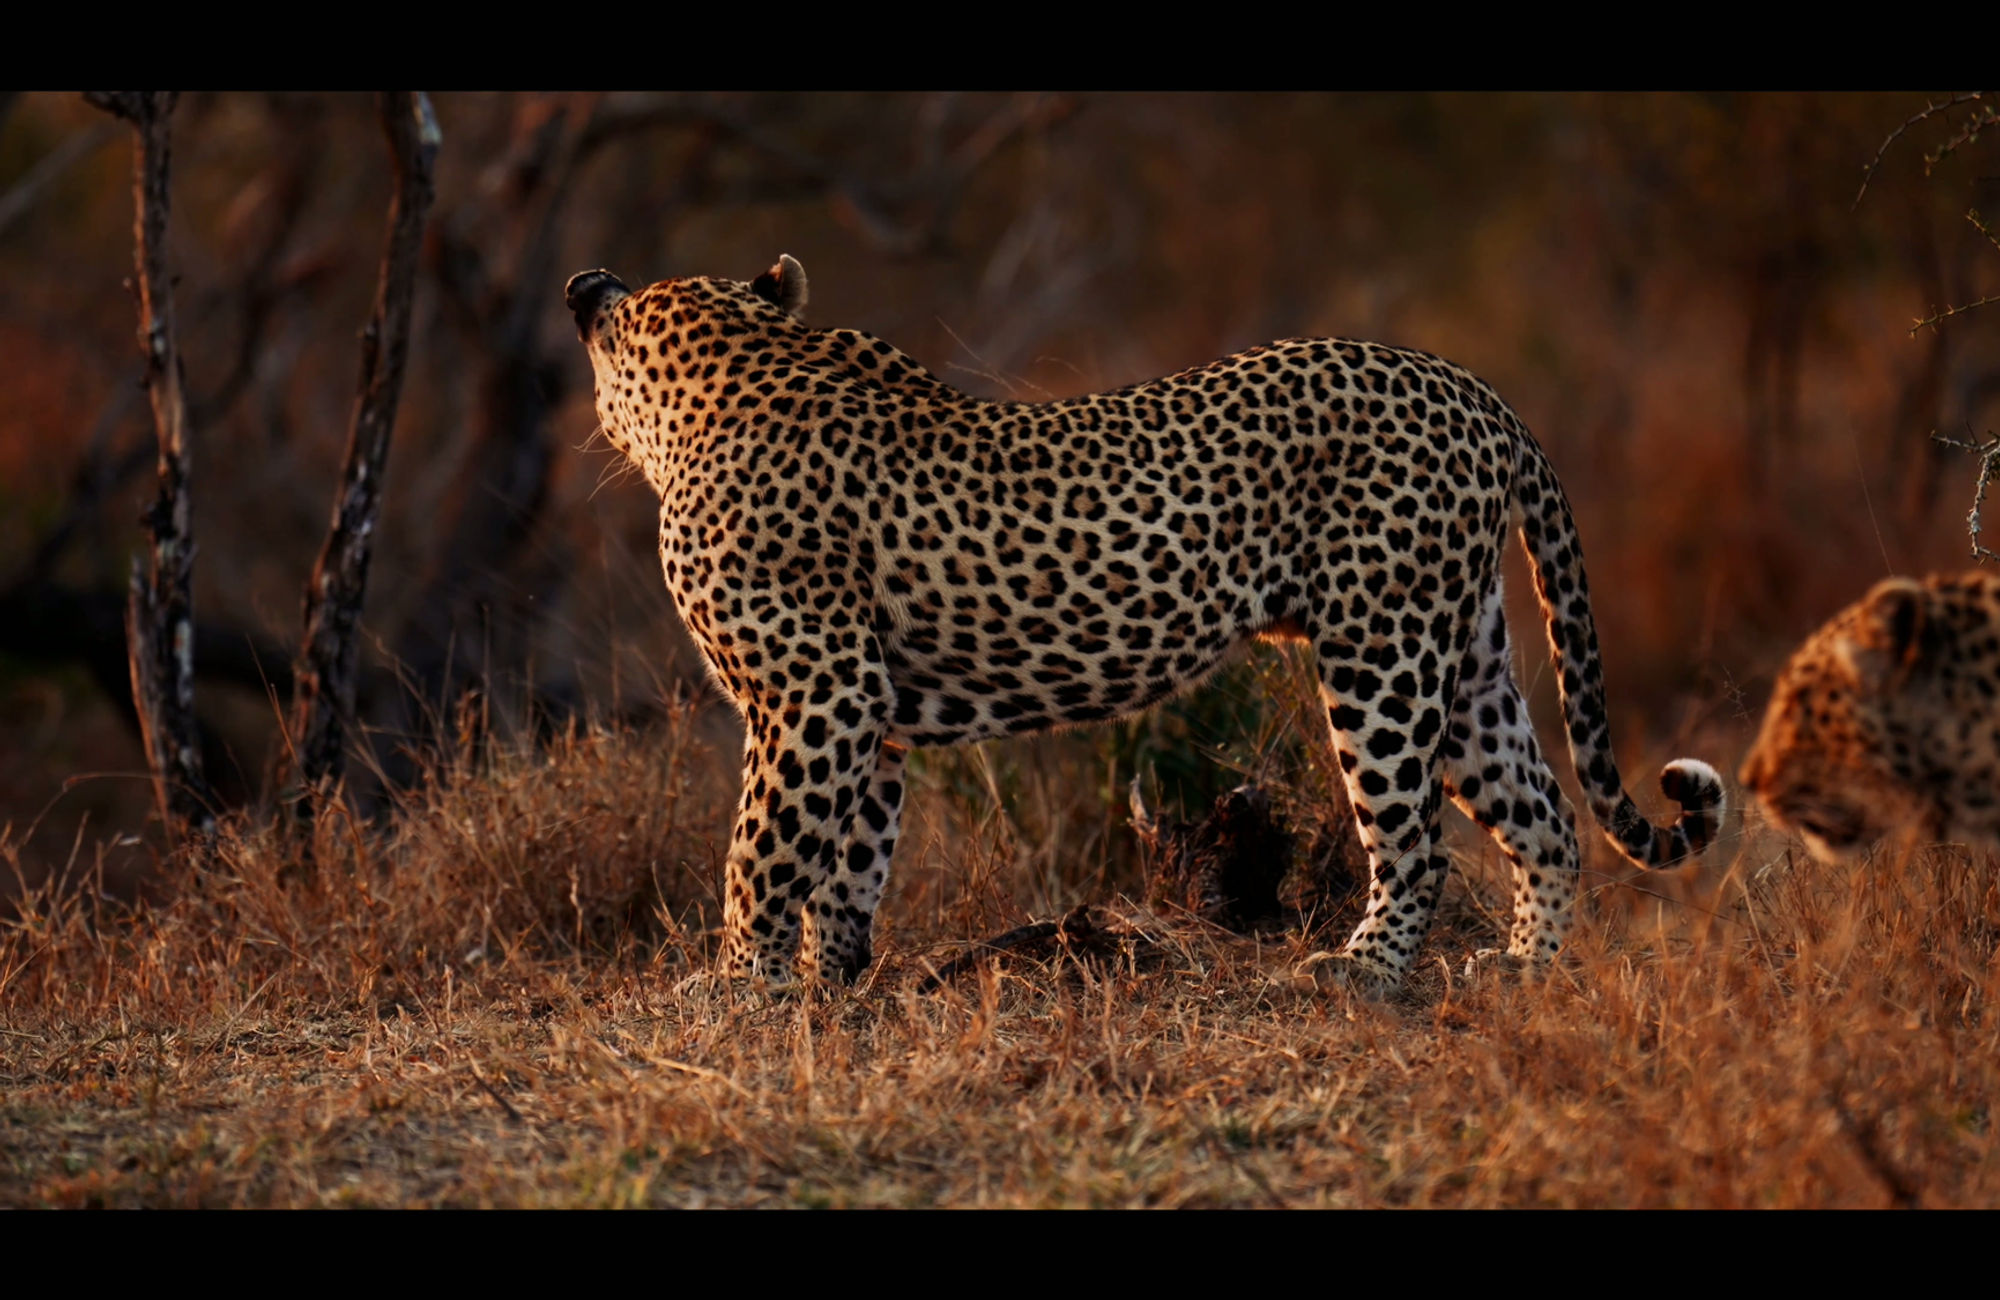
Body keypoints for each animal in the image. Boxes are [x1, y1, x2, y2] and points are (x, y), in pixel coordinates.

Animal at [564, 254, 1726, 991]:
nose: (585, 288)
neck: (726, 376)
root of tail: (1478, 392)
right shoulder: (868, 715)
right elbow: (844, 860)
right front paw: (824, 982)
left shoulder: (816, 695)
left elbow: (760, 852)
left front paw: (733, 988)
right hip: (1464, 655)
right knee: (1547, 816)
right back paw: (1526, 969)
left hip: (1381, 656)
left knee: (1416, 841)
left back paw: (1360, 974)